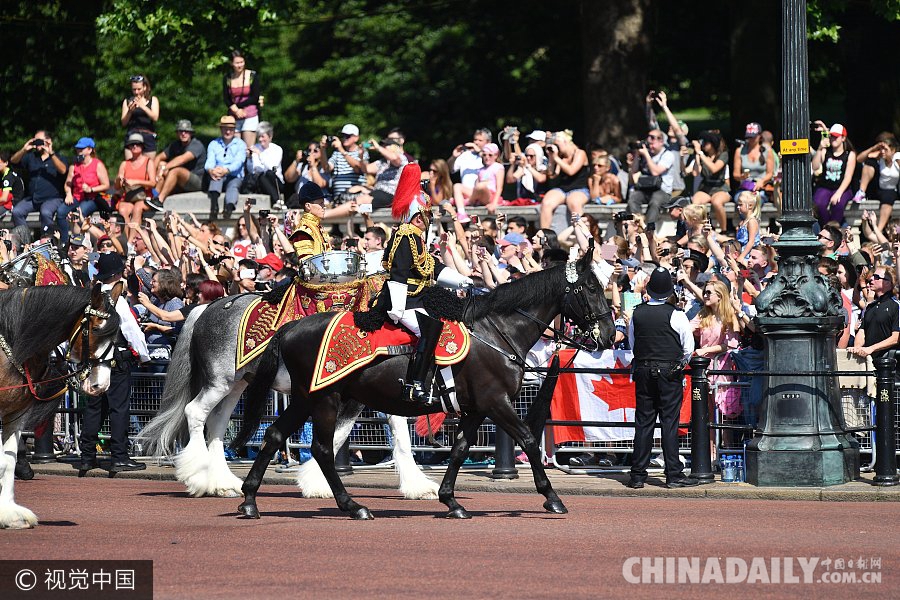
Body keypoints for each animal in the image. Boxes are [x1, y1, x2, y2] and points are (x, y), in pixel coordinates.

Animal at [0, 284, 123, 528]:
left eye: (115, 335)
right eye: (95, 329)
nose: (100, 385)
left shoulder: (16, 415)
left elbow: (7, 461)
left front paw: (8, 514)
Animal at [136, 250, 440, 502]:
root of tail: (206, 308)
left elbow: (399, 437)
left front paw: (419, 486)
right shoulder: (354, 396)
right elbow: (340, 435)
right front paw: (317, 484)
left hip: (236, 384)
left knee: (218, 424)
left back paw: (222, 484)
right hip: (219, 382)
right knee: (195, 413)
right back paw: (199, 477)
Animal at [232, 248, 616, 520]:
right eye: (591, 287)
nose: (610, 335)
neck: (497, 331)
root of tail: (289, 327)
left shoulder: (476, 407)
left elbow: (460, 448)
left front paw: (451, 501)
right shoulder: (496, 402)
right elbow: (529, 440)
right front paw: (552, 497)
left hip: (308, 398)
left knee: (278, 436)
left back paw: (252, 499)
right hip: (323, 398)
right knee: (319, 448)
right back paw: (349, 506)